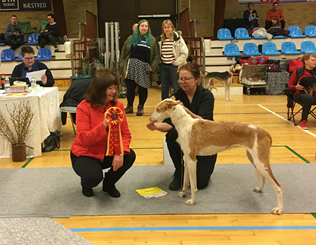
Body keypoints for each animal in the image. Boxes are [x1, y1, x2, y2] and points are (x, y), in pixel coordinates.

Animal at [151, 99, 284, 214]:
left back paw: (279, 209)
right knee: (263, 179)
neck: (184, 124)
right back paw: (260, 189)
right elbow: (185, 181)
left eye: (158, 109)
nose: (150, 118)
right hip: (255, 160)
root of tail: (264, 131)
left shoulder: (193, 160)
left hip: (260, 162)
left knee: (278, 186)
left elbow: (193, 185)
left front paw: (192, 201)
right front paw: (183, 194)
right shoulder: (186, 159)